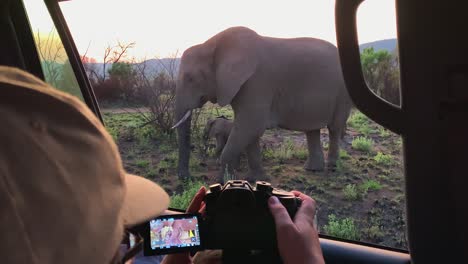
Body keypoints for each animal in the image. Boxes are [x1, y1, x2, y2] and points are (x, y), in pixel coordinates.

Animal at [175, 27, 352, 184]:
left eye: (190, 79)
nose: (188, 178)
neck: (212, 45)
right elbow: (249, 131)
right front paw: (256, 179)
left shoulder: (257, 82)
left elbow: (251, 126)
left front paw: (224, 181)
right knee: (312, 130)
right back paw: (313, 169)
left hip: (342, 92)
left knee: (334, 128)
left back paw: (332, 167)